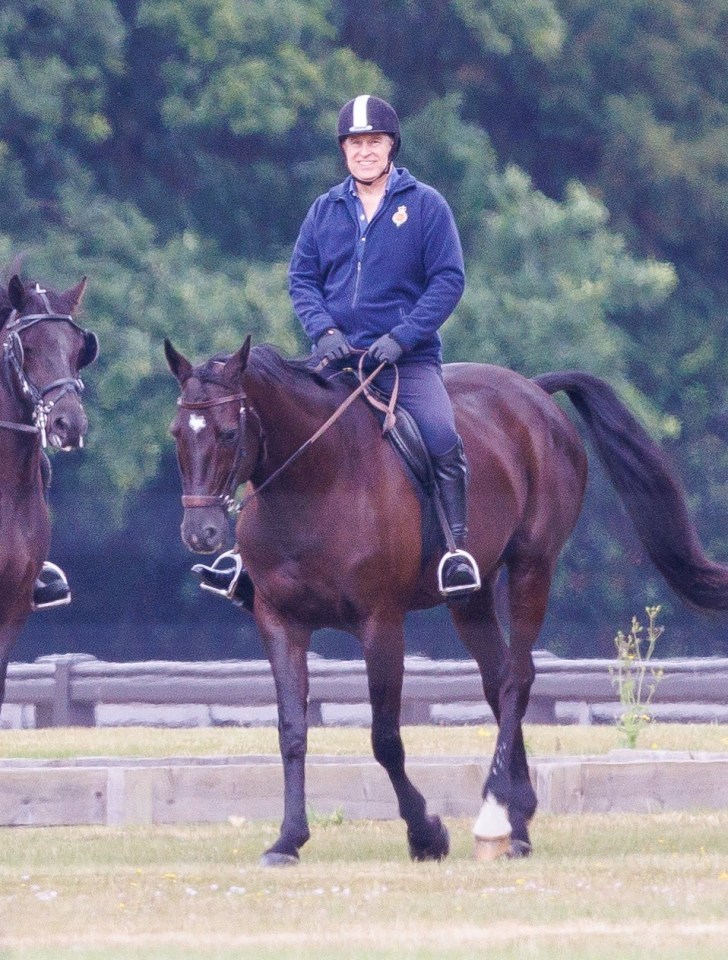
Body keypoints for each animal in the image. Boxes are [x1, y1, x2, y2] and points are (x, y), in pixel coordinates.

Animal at [165, 338, 728, 864]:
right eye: (177, 434)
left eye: (229, 433)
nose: (200, 533)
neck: (315, 482)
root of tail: (532, 392)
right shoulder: (279, 621)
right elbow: (291, 732)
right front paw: (288, 840)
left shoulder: (381, 622)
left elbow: (385, 737)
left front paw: (426, 833)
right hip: (470, 598)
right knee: (497, 678)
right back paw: (517, 818)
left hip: (532, 566)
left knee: (517, 678)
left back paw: (497, 813)